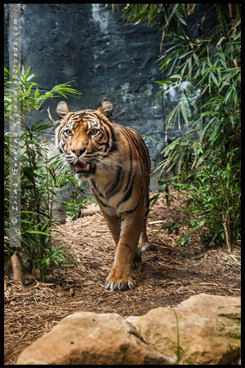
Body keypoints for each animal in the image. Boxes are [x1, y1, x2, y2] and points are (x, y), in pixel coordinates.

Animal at [55, 98, 150, 290]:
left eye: (93, 132)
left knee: (144, 222)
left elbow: (126, 242)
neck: (104, 175)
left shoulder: (133, 209)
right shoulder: (108, 211)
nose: (77, 151)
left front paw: (119, 279)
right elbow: (118, 238)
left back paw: (143, 244)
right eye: (68, 132)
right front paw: (132, 260)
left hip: (145, 198)